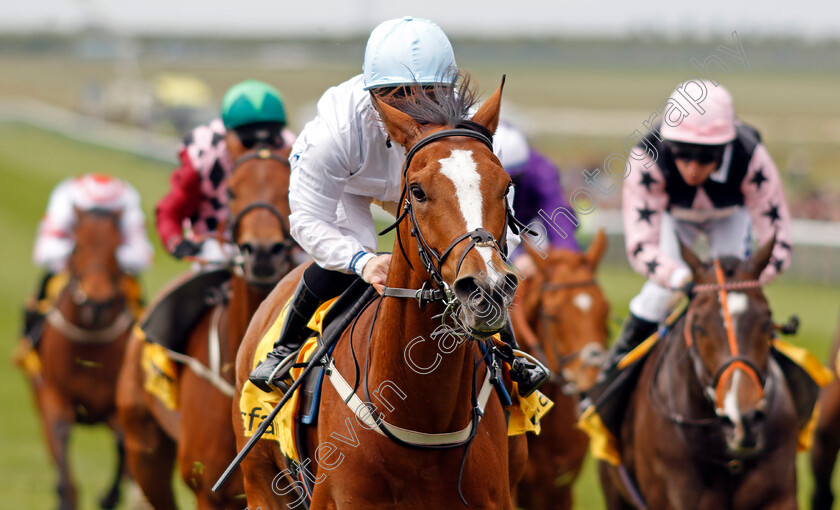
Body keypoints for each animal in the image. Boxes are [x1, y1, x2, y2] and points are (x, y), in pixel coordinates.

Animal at [24, 207, 134, 510]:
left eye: (117, 249)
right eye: (77, 247)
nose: (96, 304)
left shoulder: (114, 403)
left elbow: (122, 441)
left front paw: (108, 497)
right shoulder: (55, 394)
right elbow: (61, 433)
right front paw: (66, 495)